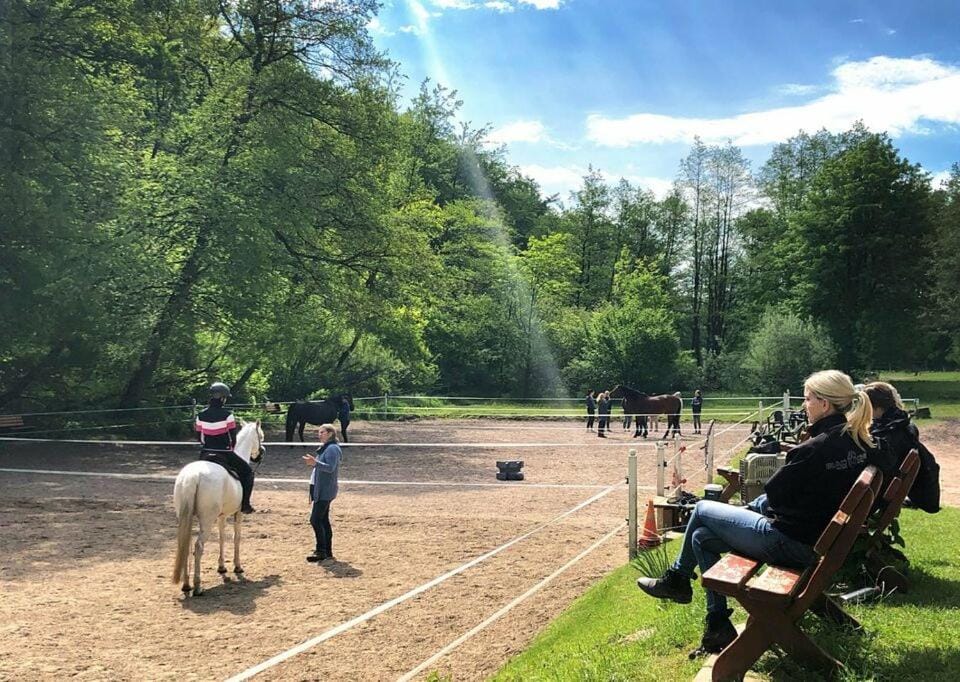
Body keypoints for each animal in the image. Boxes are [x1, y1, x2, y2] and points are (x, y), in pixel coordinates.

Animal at [172, 420, 264, 596]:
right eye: (261, 436)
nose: (260, 453)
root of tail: (192, 476)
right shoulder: (238, 513)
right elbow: (236, 537)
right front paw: (237, 566)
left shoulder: (222, 515)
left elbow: (222, 537)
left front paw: (222, 567)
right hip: (207, 521)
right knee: (198, 547)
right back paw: (197, 586)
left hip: (185, 518)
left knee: (185, 546)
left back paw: (186, 585)